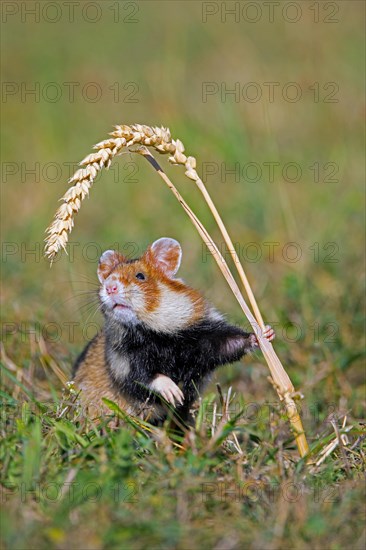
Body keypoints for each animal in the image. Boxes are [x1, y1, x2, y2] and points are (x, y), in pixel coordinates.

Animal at [72, 238, 274, 426]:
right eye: (107, 277)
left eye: (140, 276)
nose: (109, 287)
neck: (154, 331)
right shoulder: (124, 362)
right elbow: (146, 377)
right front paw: (175, 394)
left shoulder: (203, 336)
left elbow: (231, 342)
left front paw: (265, 334)